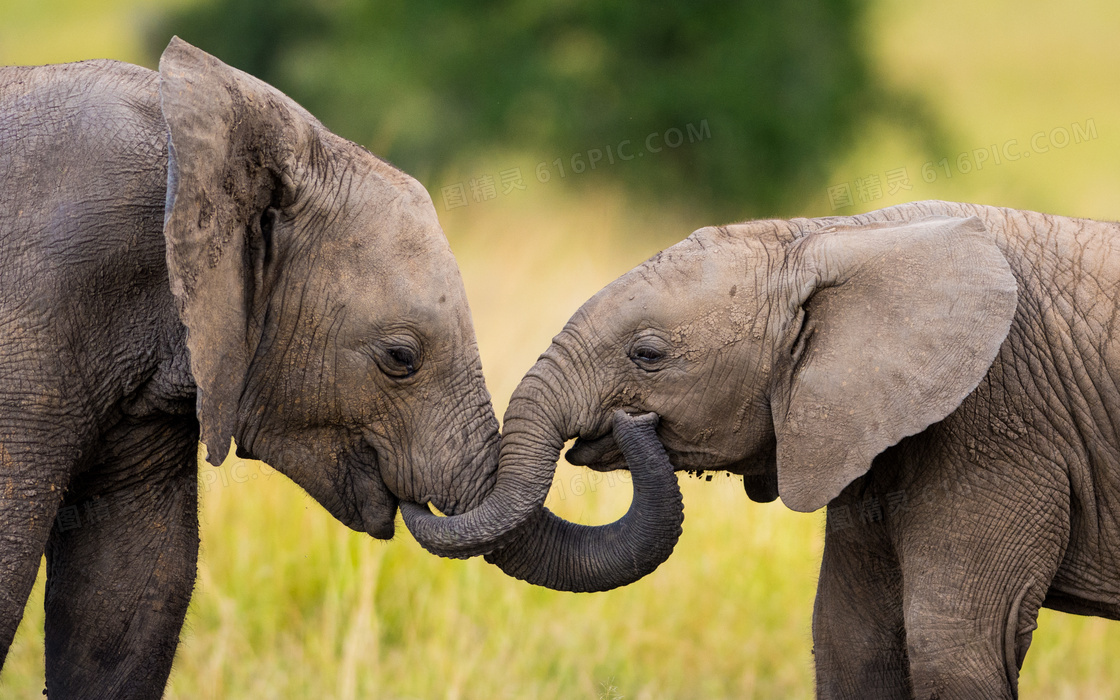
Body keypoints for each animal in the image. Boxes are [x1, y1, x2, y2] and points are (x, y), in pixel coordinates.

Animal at [497, 198, 1120, 698]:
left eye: (647, 355)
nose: (631, 424)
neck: (832, 234)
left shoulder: (1002, 427)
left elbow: (953, 649)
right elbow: (851, 642)